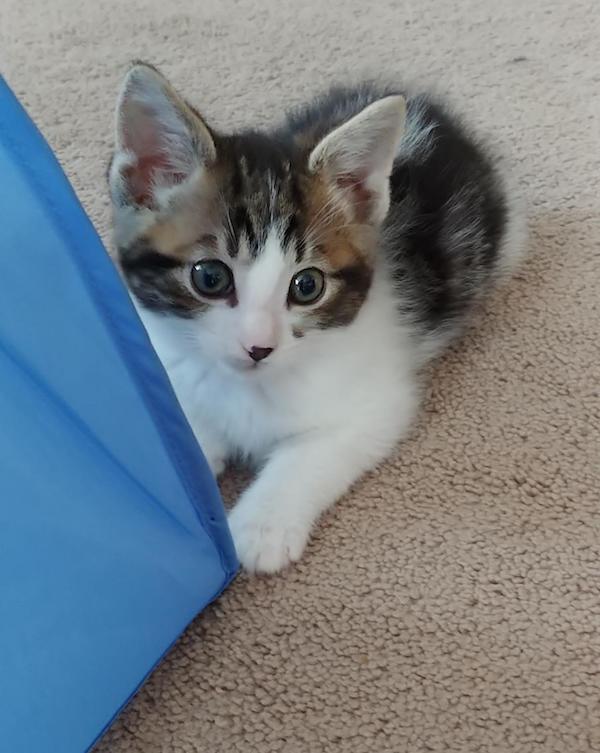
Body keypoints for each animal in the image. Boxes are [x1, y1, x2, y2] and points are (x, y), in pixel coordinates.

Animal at [109, 64, 524, 572]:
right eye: (209, 277)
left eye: (307, 286)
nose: (259, 347)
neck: (245, 387)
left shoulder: (375, 405)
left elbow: (310, 456)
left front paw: (261, 528)